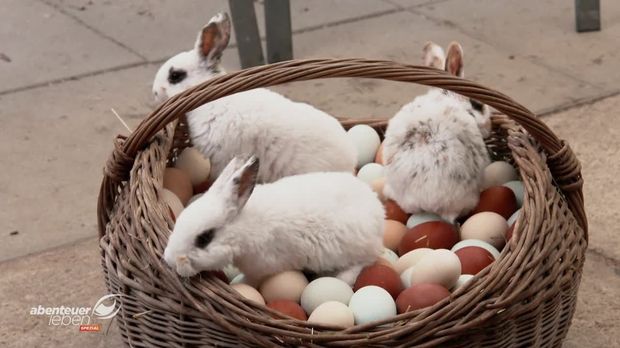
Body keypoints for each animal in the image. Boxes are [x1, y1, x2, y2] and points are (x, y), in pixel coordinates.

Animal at [163, 156, 388, 286]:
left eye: (204, 238)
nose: (169, 260)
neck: (242, 230)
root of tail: (379, 211)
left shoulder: (262, 269)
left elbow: (249, 282)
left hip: (355, 249)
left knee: (367, 260)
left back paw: (342, 278)